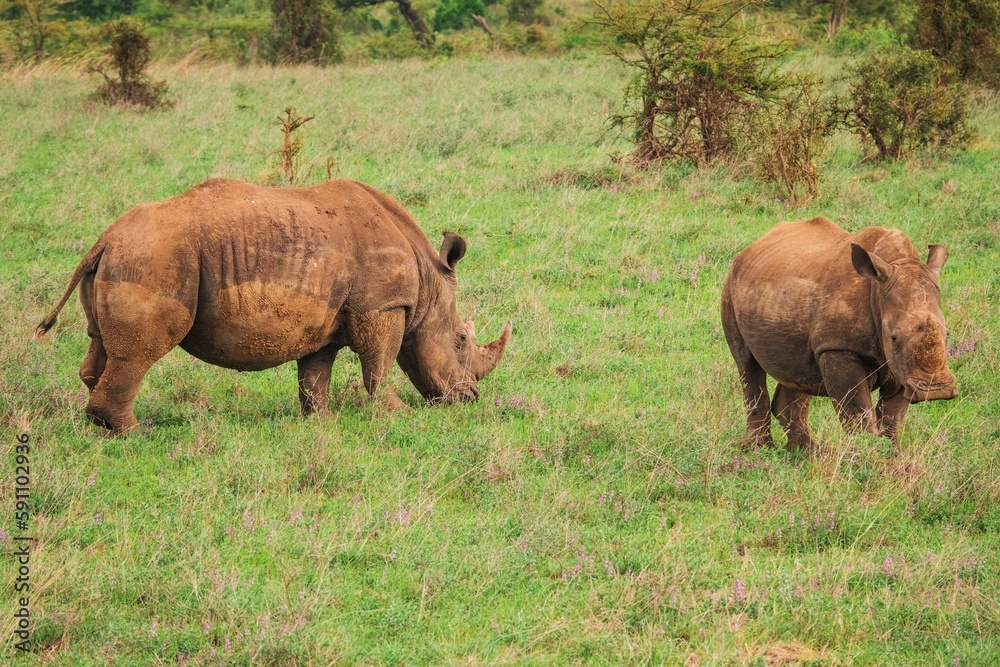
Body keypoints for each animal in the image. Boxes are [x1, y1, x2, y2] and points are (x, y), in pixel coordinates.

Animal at [34, 179, 512, 433]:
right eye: (461, 338)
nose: (469, 397)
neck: (429, 284)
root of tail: (104, 240)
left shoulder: (326, 321)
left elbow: (315, 374)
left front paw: (320, 421)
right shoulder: (382, 308)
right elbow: (379, 362)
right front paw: (395, 414)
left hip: (132, 256)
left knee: (100, 343)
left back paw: (100, 426)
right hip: (156, 257)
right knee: (139, 353)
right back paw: (135, 432)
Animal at [721, 217, 957, 450]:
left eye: (947, 334)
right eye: (894, 337)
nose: (936, 391)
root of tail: (752, 246)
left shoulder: (903, 368)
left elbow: (892, 419)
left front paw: (892, 458)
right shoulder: (838, 348)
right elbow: (858, 414)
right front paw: (865, 455)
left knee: (799, 371)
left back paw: (806, 452)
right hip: (731, 287)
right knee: (746, 363)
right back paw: (762, 450)